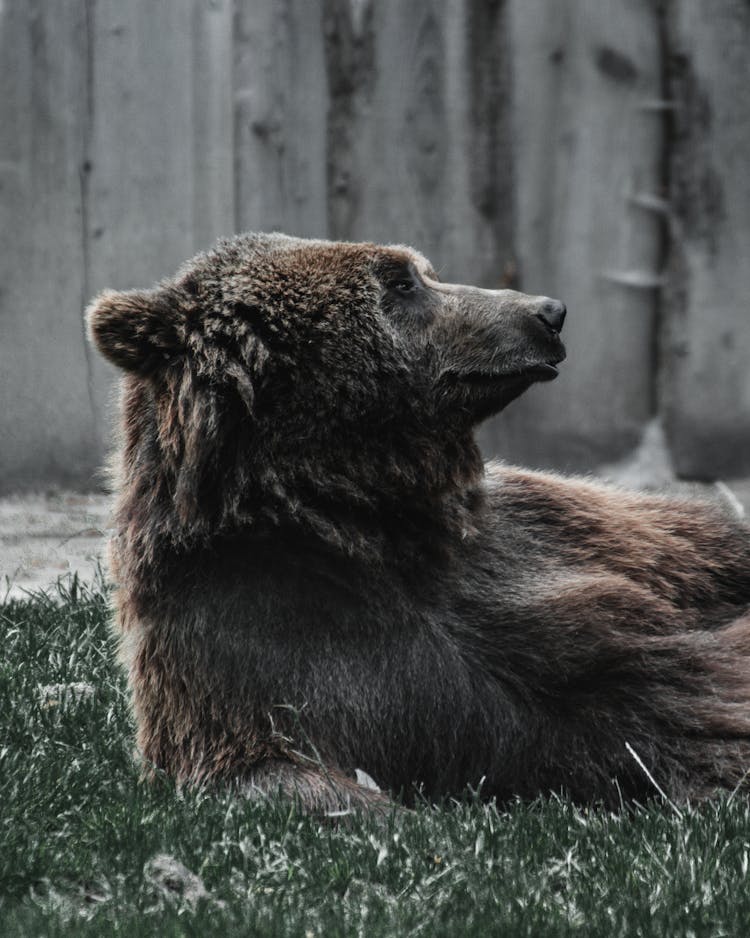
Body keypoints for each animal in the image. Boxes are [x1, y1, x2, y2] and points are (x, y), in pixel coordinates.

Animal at [85, 236, 750, 812]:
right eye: (401, 282)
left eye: (422, 272)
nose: (549, 312)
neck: (364, 518)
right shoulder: (253, 653)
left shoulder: (542, 538)